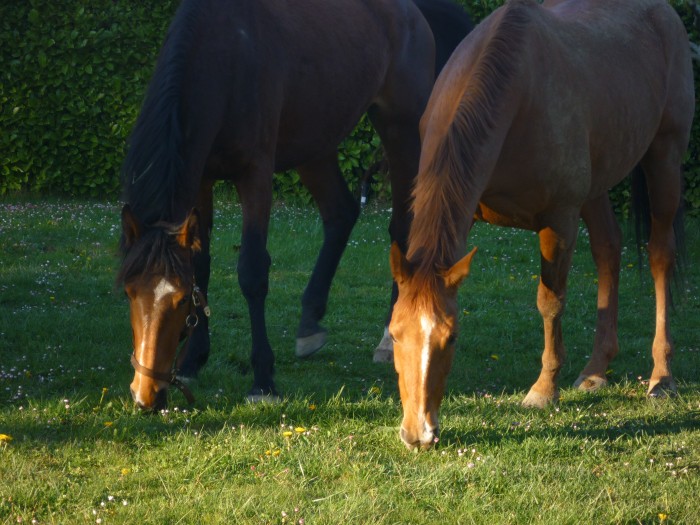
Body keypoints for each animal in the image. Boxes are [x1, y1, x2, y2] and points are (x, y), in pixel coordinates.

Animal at [117, 0, 474, 410]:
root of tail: (412, 11)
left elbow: (252, 271)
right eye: (129, 292)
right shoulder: (201, 178)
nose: (145, 394)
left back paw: (389, 336)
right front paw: (193, 361)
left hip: (400, 131)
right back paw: (310, 321)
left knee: (401, 228)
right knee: (341, 213)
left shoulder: (255, 173)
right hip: (315, 143)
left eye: (177, 302)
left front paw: (263, 380)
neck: (223, 55)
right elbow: (201, 265)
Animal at [392, 0, 692, 450]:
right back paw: (595, 369)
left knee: (659, 256)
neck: (516, 95)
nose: (418, 433)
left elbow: (550, 303)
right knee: (608, 248)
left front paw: (543, 389)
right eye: (395, 334)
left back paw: (662, 376)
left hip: (665, 157)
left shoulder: (559, 221)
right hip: (597, 185)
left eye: (452, 337)